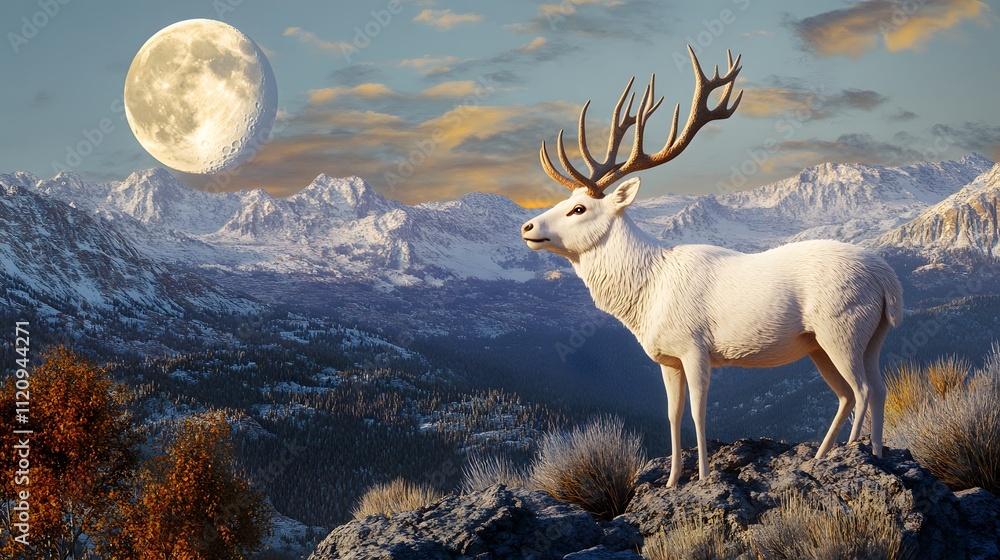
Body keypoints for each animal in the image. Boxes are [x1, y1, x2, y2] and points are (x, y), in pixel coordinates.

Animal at [521, 46, 903, 487]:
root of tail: (887, 279)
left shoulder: (695, 346)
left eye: (579, 208)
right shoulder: (666, 357)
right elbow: (672, 415)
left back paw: (850, 454)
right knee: (869, 389)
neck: (646, 294)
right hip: (853, 337)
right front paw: (672, 480)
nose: (527, 226)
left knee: (861, 390)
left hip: (841, 327)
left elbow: (698, 413)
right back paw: (851, 454)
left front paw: (704, 477)